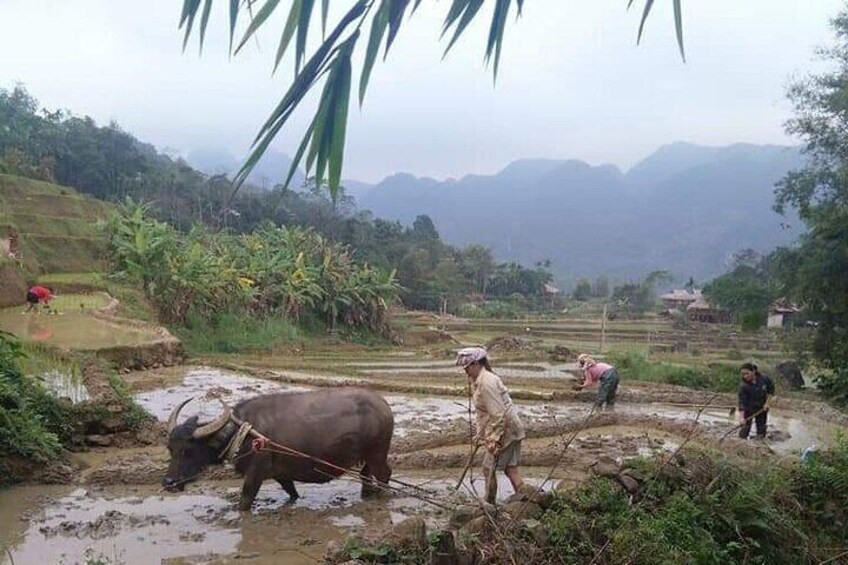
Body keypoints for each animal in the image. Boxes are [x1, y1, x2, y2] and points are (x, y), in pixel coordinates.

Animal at [161, 386, 394, 508]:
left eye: (188, 450)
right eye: (170, 449)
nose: (168, 482)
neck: (244, 433)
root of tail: (383, 405)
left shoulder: (255, 475)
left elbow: (244, 502)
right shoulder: (281, 474)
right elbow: (292, 493)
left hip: (378, 453)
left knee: (384, 474)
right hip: (368, 456)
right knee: (366, 476)